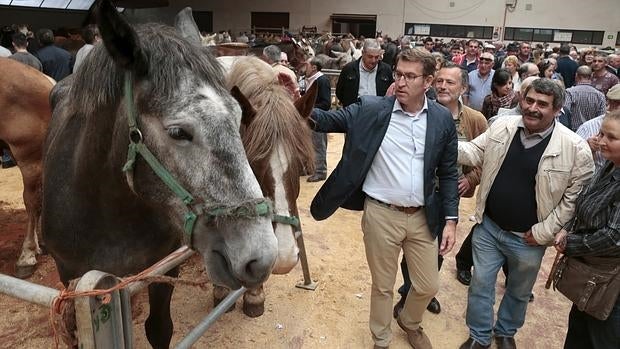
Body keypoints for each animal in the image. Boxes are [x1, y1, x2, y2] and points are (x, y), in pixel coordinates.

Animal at [41, 1, 278, 346]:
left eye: (238, 117)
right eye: (178, 132)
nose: (260, 257)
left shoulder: (163, 268)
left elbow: (159, 328)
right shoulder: (69, 279)